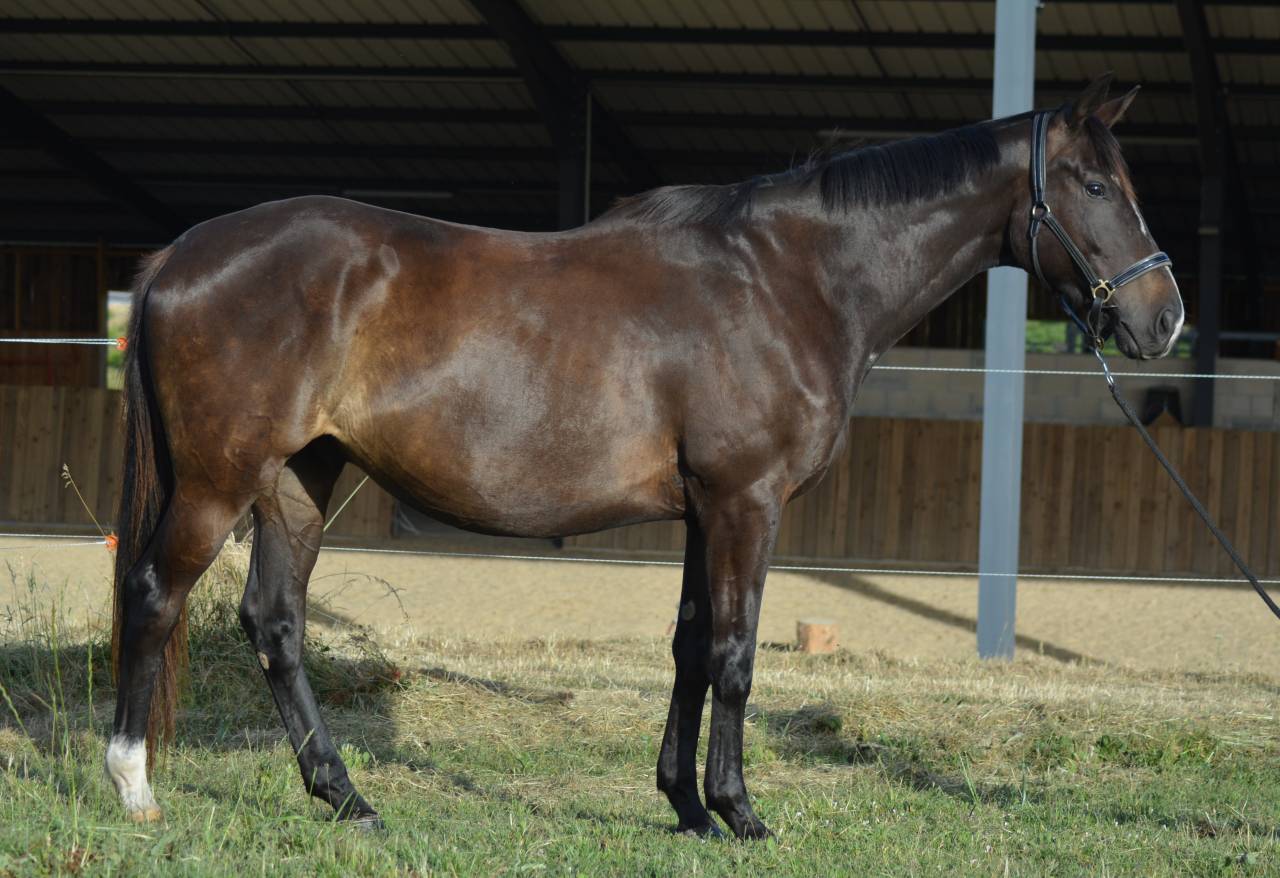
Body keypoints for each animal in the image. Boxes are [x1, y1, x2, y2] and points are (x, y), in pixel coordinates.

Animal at [105, 74, 1183, 839]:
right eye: (1094, 185)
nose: (1162, 317)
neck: (788, 279)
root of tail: (178, 256)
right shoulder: (746, 500)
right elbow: (736, 654)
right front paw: (740, 811)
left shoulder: (704, 507)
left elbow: (689, 646)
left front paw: (686, 805)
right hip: (217, 482)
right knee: (156, 594)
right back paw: (132, 783)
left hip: (300, 478)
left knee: (275, 623)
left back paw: (347, 798)